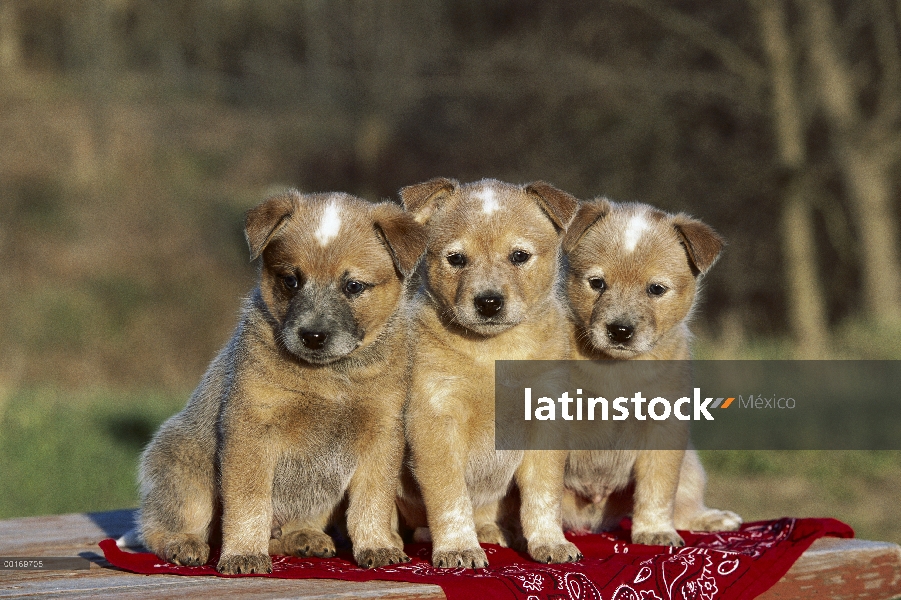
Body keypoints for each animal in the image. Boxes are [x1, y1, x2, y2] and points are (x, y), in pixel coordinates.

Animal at [135, 190, 428, 576]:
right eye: (291, 280)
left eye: (353, 286)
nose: (312, 336)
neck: (331, 378)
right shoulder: (251, 428)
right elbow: (249, 503)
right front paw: (243, 554)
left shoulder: (382, 432)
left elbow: (373, 500)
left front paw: (378, 544)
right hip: (185, 471)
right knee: (158, 527)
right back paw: (183, 544)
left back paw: (305, 538)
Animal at [396, 177, 580, 568]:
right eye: (456, 258)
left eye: (519, 256)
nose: (489, 302)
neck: (494, 352)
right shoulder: (435, 421)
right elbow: (450, 496)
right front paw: (458, 548)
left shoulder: (546, 422)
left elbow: (543, 494)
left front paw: (550, 542)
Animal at [560, 199, 740, 548]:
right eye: (597, 283)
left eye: (656, 289)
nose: (620, 330)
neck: (616, 370)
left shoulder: (664, 429)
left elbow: (657, 489)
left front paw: (654, 531)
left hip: (690, 465)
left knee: (683, 504)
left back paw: (712, 518)